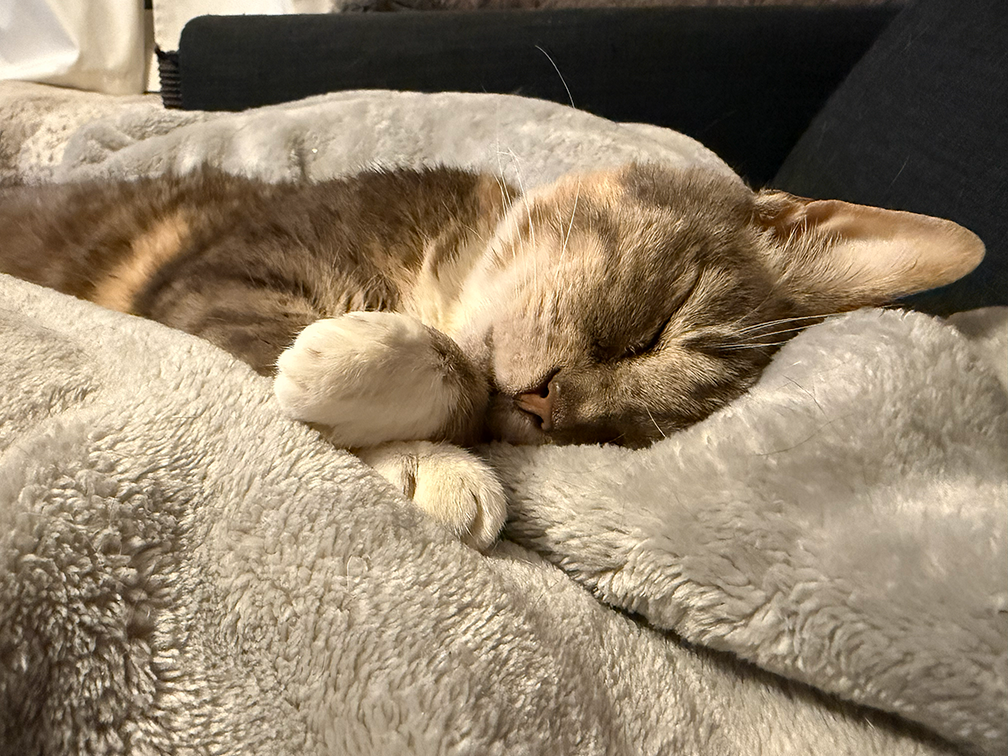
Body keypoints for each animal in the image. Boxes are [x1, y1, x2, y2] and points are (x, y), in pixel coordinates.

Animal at [0, 162, 983, 548]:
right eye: (654, 328)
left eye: (615, 434)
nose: (548, 401)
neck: (437, 268)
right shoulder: (214, 275)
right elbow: (457, 368)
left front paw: (425, 458)